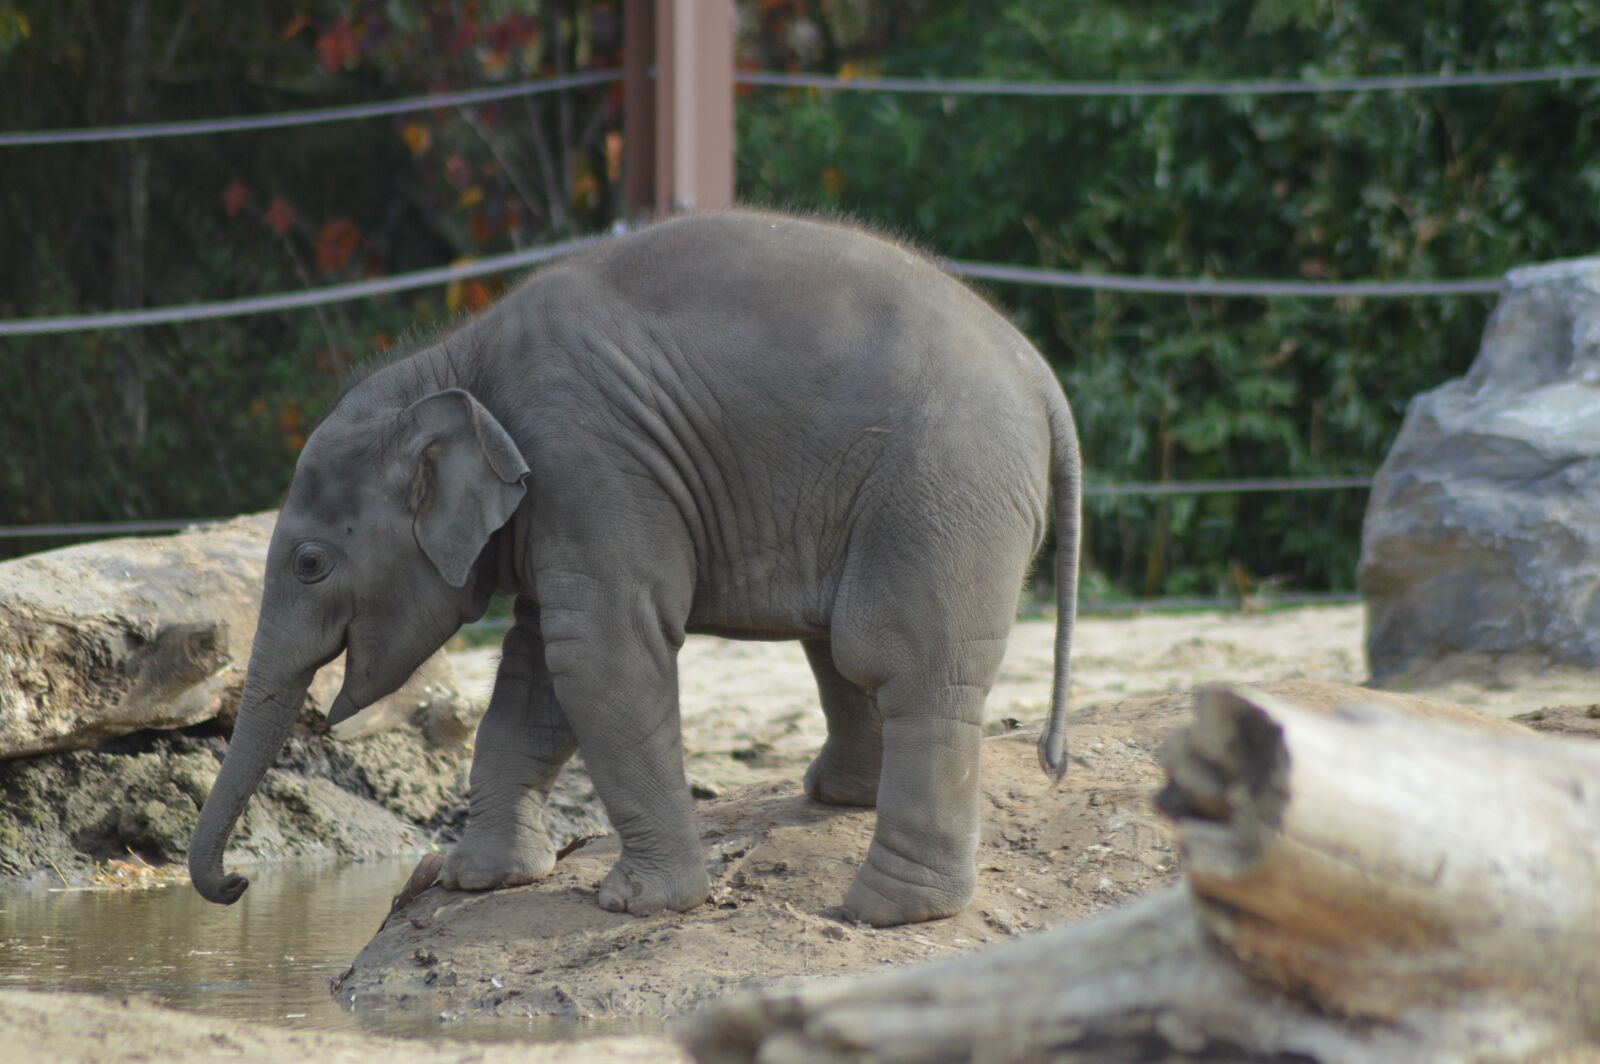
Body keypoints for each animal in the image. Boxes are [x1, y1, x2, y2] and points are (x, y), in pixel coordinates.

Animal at [188, 210, 1081, 928]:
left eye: (309, 563)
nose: (234, 887)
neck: (456, 362)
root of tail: (1041, 376)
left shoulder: (590, 467)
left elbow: (598, 656)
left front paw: (635, 904)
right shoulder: (559, 504)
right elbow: (536, 673)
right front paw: (477, 880)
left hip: (942, 489)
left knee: (901, 660)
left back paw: (885, 913)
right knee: (842, 649)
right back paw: (837, 800)